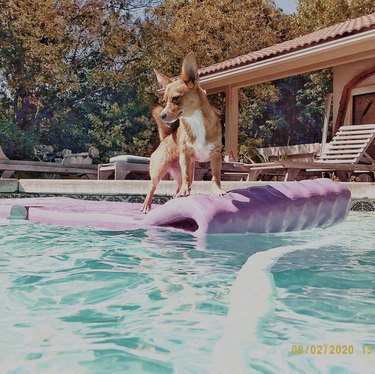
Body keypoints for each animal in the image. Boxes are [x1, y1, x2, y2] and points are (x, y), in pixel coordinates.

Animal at [141, 51, 225, 213]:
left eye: (175, 98)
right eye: (164, 101)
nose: (162, 115)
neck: (195, 121)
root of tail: (166, 137)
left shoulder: (215, 155)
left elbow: (216, 176)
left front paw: (217, 190)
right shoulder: (185, 156)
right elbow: (186, 175)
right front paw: (186, 191)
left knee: (177, 188)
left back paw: (178, 196)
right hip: (158, 170)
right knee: (151, 187)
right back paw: (147, 206)